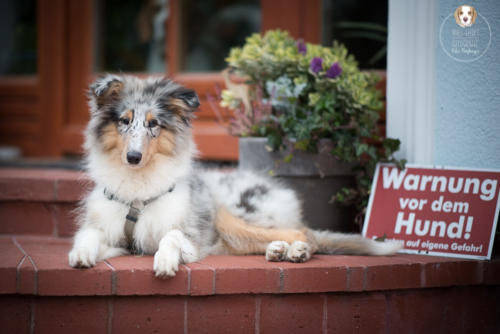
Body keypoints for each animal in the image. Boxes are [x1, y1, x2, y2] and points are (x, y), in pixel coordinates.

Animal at [67, 75, 402, 276]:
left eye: (154, 124)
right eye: (124, 121)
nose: (133, 157)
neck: (139, 188)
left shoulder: (192, 235)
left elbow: (171, 237)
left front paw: (164, 260)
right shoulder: (112, 233)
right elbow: (89, 235)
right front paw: (81, 254)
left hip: (233, 217)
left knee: (304, 232)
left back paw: (297, 250)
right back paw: (278, 251)